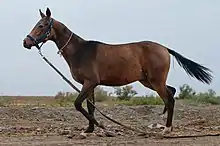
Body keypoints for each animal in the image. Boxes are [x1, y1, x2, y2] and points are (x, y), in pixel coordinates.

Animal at [21, 8, 211, 135]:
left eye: (42, 25)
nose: (26, 42)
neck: (81, 51)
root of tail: (164, 48)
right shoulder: (89, 85)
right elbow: (90, 106)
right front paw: (89, 129)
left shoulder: (90, 83)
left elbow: (78, 104)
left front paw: (101, 126)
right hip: (148, 81)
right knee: (171, 92)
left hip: (156, 81)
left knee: (169, 99)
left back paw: (167, 128)